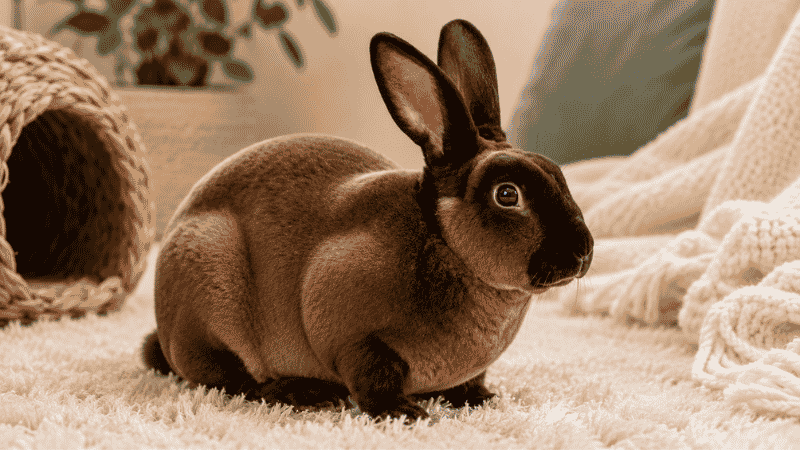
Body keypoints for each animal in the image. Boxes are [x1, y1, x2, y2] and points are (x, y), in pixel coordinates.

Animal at [141, 18, 593, 423]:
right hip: (210, 283)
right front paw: (404, 414)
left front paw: (482, 399)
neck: (446, 243)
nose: (583, 253)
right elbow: (373, 376)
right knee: (232, 380)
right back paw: (303, 393)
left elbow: (472, 380)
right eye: (507, 194)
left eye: (559, 174)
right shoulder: (350, 331)